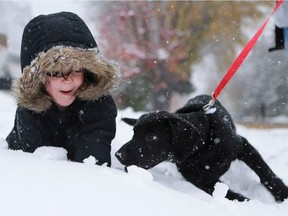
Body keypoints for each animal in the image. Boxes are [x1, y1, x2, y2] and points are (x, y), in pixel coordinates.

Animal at [116, 95, 288, 202]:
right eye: (134, 133)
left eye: (152, 137)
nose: (118, 155)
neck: (203, 147)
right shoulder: (200, 179)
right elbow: (230, 194)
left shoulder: (242, 145)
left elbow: (265, 173)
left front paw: (282, 194)